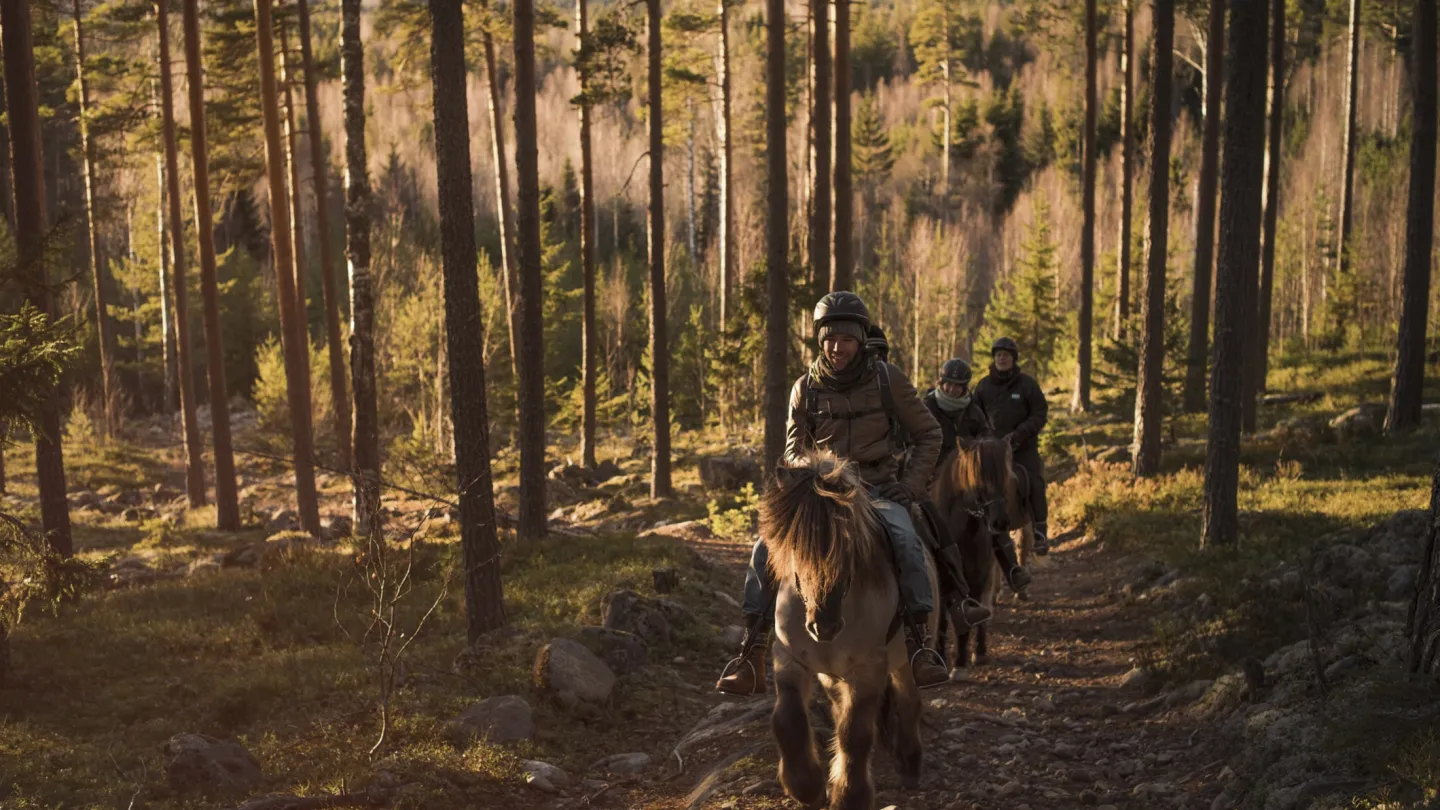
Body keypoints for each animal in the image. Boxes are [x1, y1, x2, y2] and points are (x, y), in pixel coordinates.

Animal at [760, 449, 938, 801]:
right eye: (794, 546)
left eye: (848, 545)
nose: (824, 626)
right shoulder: (789, 658)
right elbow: (787, 719)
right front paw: (807, 786)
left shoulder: (869, 668)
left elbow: (855, 733)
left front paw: (848, 795)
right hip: (831, 673)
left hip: (907, 661)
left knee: (909, 701)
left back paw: (909, 764)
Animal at [933, 435, 1025, 668]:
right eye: (979, 480)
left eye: (1004, 479)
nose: (1000, 522)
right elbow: (943, 616)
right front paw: (940, 655)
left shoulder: (977, 575)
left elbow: (972, 610)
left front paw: (961, 660)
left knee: (984, 603)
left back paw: (980, 650)